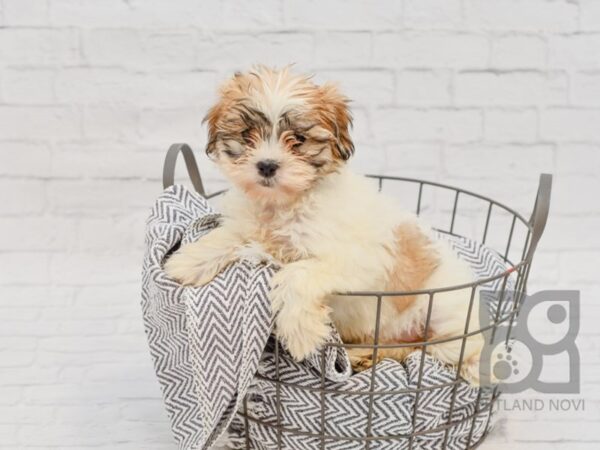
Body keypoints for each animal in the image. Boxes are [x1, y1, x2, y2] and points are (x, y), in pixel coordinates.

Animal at [166, 66, 486, 384]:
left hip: (443, 316)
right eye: (247, 134)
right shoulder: (250, 226)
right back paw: (361, 356)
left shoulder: (358, 260)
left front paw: (301, 334)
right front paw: (186, 262)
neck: (285, 204)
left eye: (298, 139)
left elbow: (298, 274)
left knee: (436, 351)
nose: (266, 165)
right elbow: (229, 235)